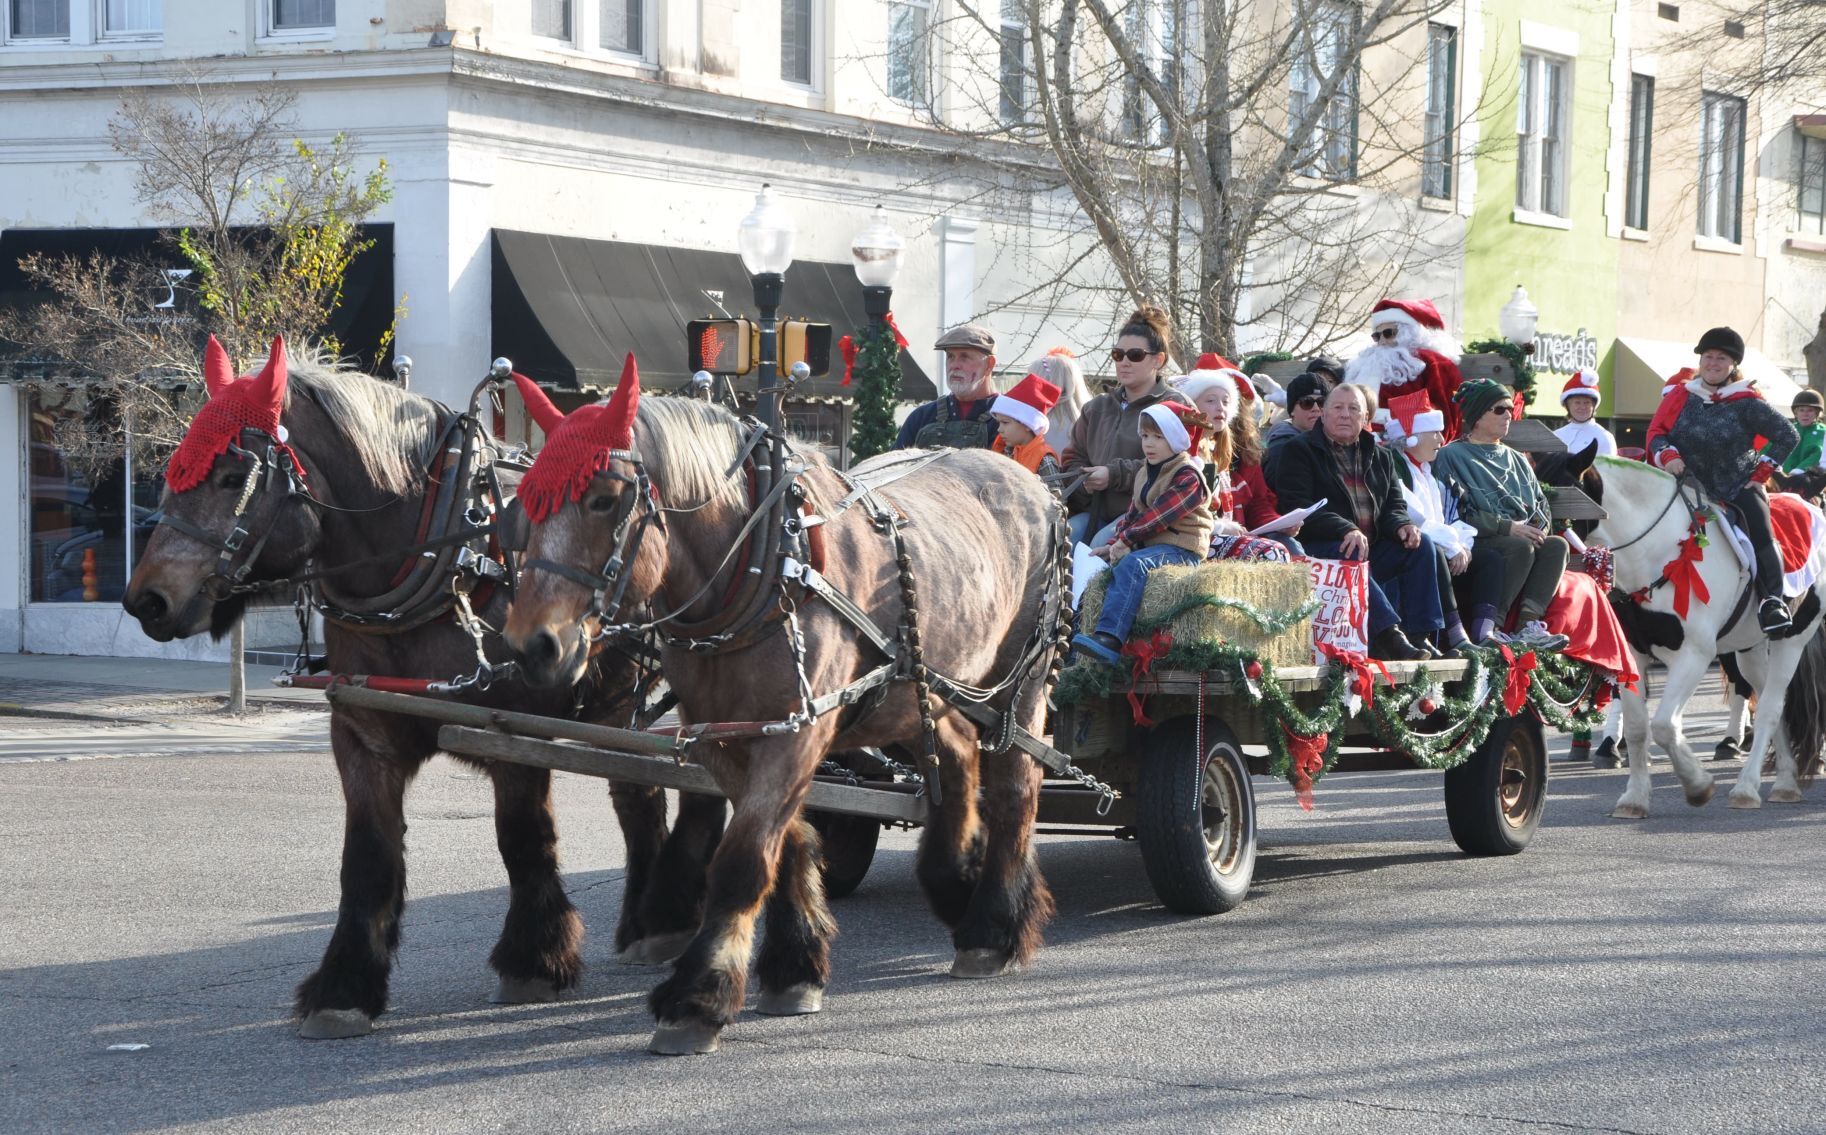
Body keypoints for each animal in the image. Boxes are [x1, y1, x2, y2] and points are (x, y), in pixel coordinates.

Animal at [117, 337, 719, 1043]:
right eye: (175, 467)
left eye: (232, 477)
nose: (146, 600)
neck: (440, 557)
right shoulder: (362, 733)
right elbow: (368, 857)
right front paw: (344, 987)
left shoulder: (514, 729)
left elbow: (523, 840)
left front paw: (534, 959)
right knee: (642, 795)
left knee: (657, 792)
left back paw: (663, 920)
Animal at [500, 363, 1066, 1058]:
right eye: (526, 504)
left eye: (604, 498)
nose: (531, 645)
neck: (763, 568)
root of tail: (1029, 480)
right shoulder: (726, 736)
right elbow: (785, 838)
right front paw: (795, 966)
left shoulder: (798, 730)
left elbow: (743, 859)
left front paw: (697, 997)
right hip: (922, 687)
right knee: (958, 752)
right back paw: (953, 880)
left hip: (1021, 682)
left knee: (1016, 785)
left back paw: (993, 927)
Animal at [1584, 456, 1826, 817]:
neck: (1658, 551)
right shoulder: (1633, 652)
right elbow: (1640, 727)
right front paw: (1634, 798)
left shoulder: (1694, 655)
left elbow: (1664, 725)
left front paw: (1697, 784)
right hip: (1750, 648)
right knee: (1772, 701)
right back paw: (1784, 782)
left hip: (1792, 640)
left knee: (1769, 707)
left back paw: (1746, 788)